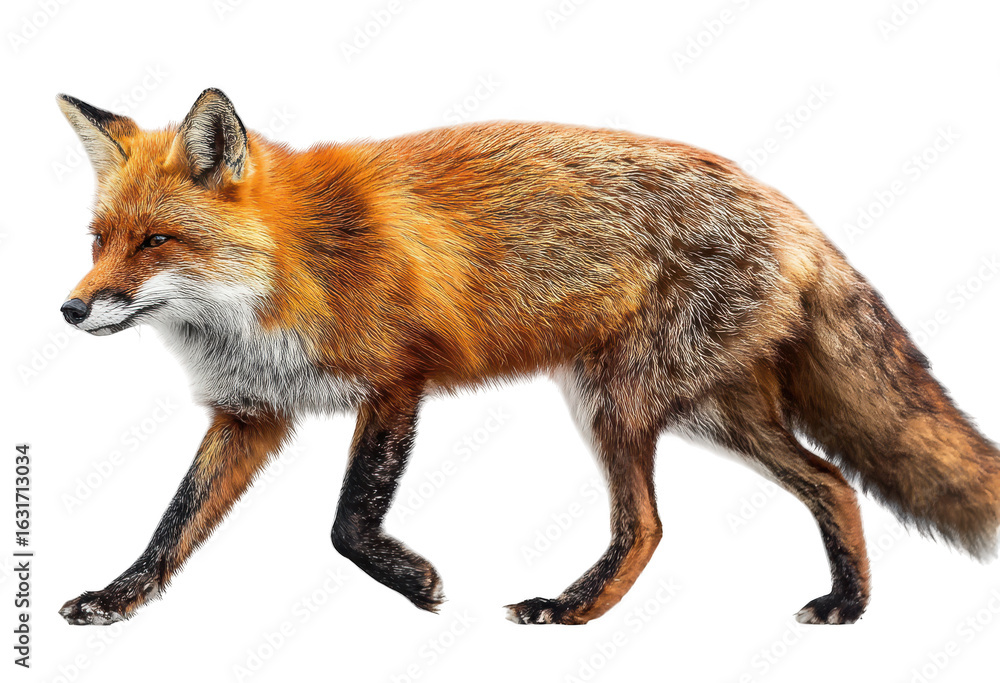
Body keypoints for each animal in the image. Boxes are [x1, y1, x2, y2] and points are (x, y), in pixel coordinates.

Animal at [56, 87, 1000, 627]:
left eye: (157, 241)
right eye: (100, 241)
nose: (70, 309)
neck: (291, 267)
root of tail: (791, 210)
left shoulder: (398, 379)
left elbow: (347, 521)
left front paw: (417, 584)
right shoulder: (252, 412)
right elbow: (173, 524)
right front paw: (118, 597)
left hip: (616, 402)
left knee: (648, 525)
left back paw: (573, 608)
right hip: (714, 413)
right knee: (832, 481)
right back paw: (850, 604)